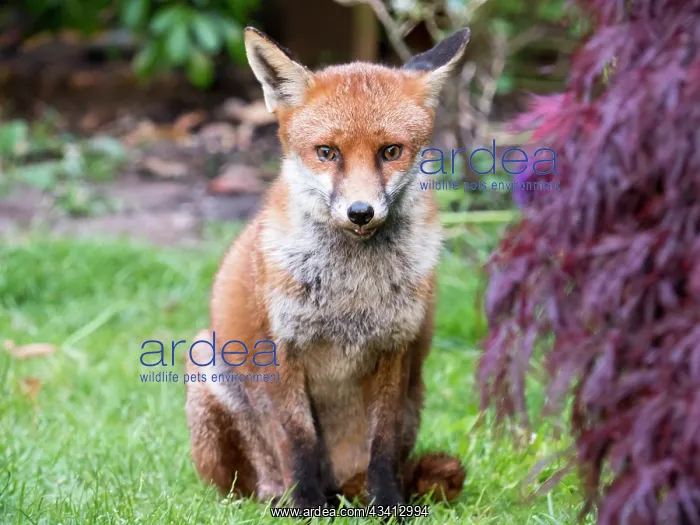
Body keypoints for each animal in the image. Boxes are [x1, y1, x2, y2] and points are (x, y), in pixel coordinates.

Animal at [185, 26, 471, 511]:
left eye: (390, 151)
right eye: (327, 152)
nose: (360, 212)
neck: (349, 292)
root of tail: (341, 485)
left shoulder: (394, 348)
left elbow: (382, 444)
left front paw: (388, 508)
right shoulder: (281, 349)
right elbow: (297, 439)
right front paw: (305, 509)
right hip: (205, 371)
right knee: (248, 485)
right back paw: (279, 500)